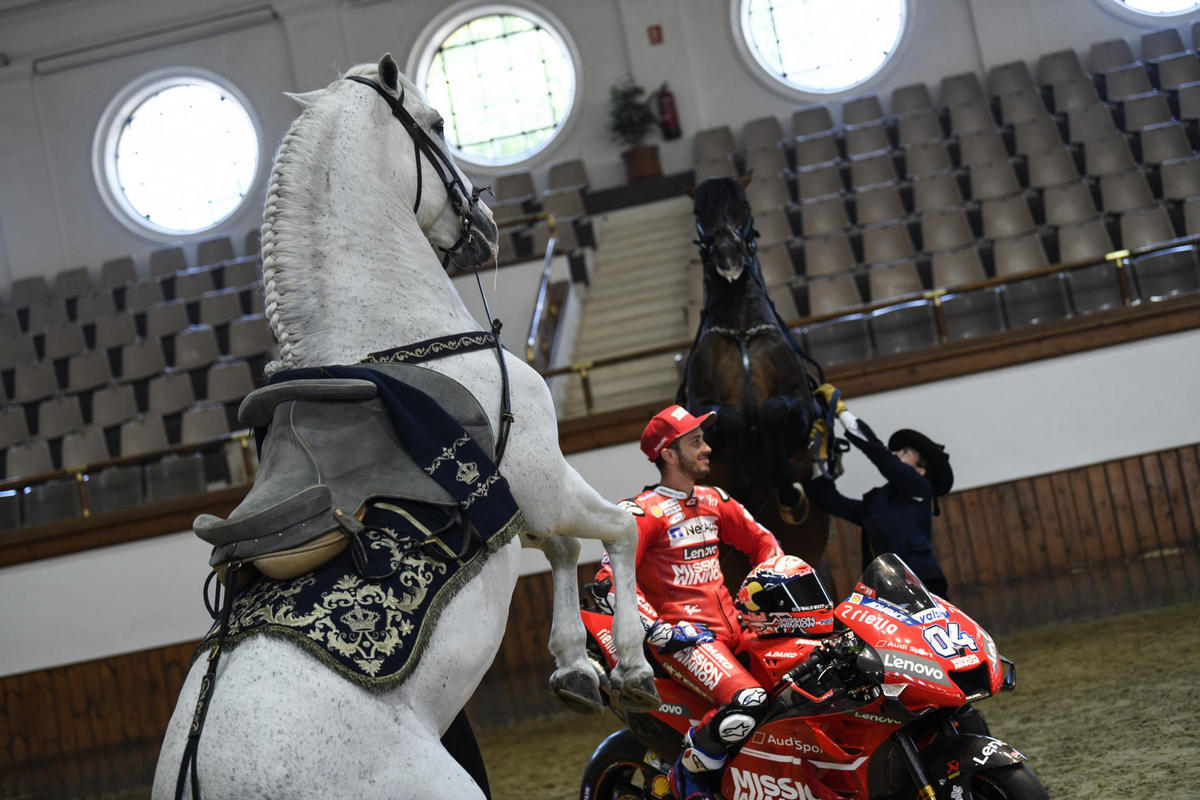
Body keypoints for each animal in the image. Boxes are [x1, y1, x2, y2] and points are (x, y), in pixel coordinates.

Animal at [152, 54, 657, 800]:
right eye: (438, 124)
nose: (485, 221)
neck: (397, 339)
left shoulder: (525, 502)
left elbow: (566, 548)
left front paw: (574, 669)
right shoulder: (544, 480)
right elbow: (619, 529)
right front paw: (630, 665)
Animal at [680, 176, 835, 574]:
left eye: (744, 206)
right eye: (698, 212)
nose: (727, 256)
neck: (740, 329)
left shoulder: (800, 412)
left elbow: (774, 410)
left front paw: (789, 494)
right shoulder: (705, 410)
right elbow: (729, 419)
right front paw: (743, 490)